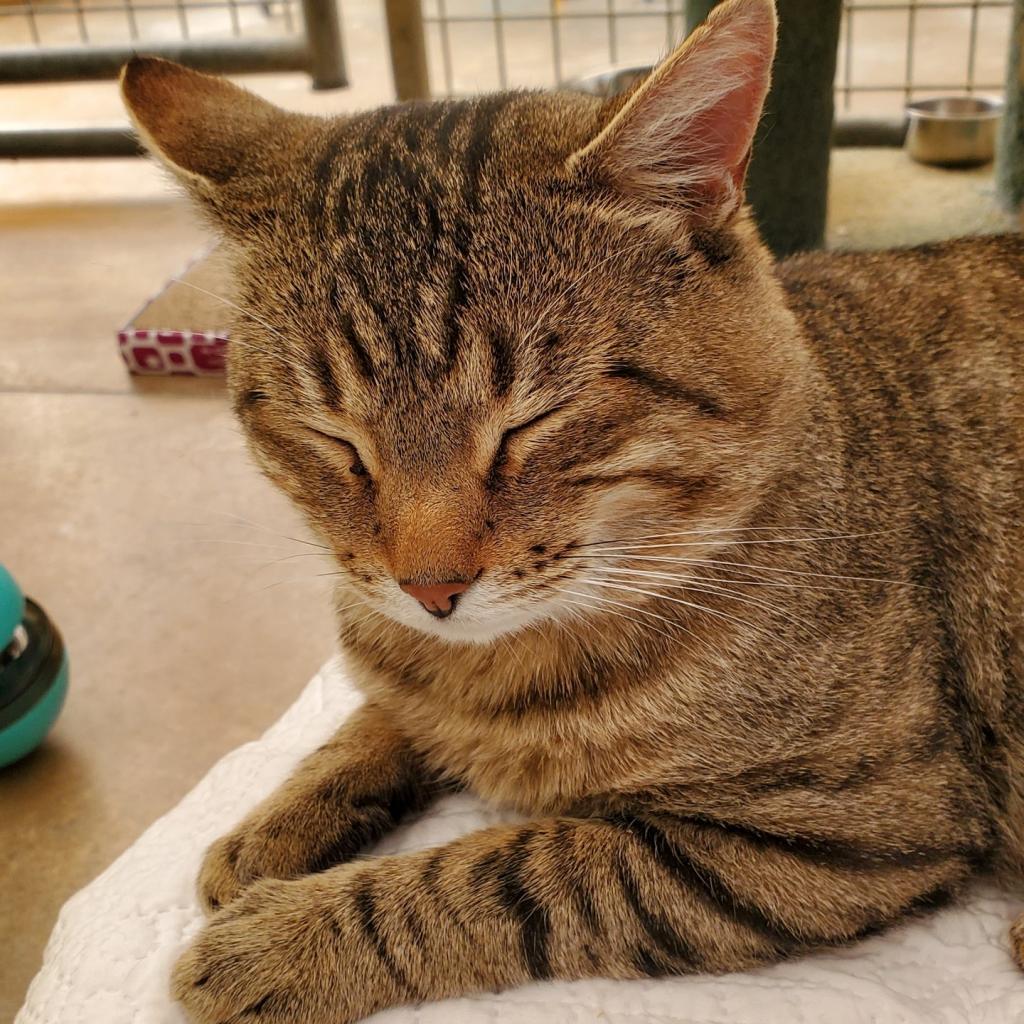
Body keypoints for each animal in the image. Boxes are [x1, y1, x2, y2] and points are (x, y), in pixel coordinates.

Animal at [119, 0, 1024, 1019]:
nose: (431, 589)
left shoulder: (839, 830)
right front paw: (277, 822)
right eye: (335, 437)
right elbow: (374, 719)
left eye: (530, 422)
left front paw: (285, 938)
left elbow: (510, 873)